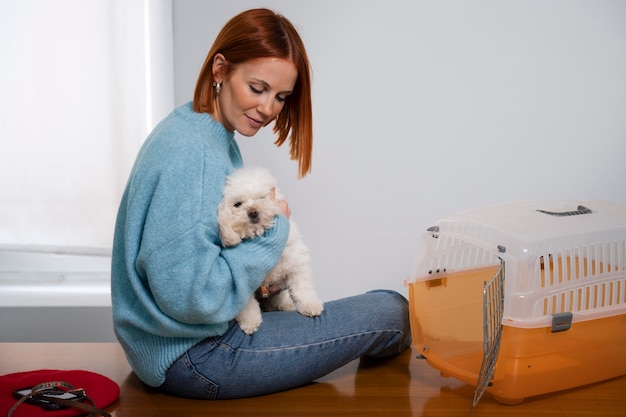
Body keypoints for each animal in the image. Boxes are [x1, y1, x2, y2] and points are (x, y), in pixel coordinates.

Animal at [216, 167, 322, 334]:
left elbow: (303, 288)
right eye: (237, 204)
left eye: (261, 197)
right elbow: (246, 305)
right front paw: (250, 322)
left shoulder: (297, 263)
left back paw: (286, 304)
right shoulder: (245, 282)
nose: (253, 212)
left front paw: (310, 305)